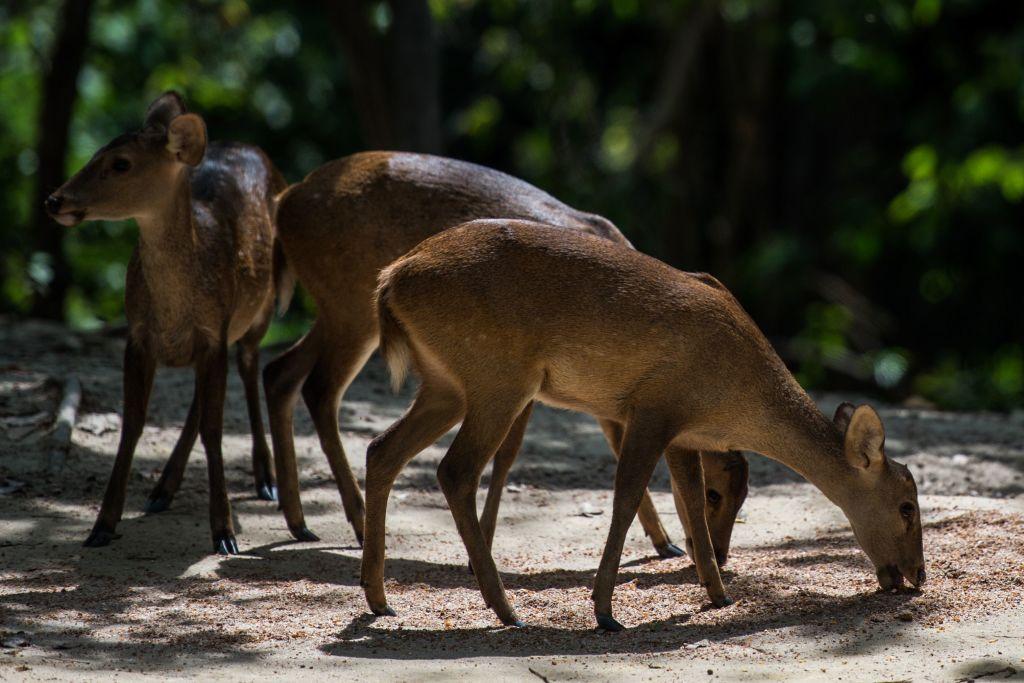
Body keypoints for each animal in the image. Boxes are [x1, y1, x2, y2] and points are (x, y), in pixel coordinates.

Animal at [45, 92, 288, 557]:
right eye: (96, 150)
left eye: (121, 163)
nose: (54, 200)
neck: (176, 310)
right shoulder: (139, 336)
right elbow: (133, 425)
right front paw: (101, 525)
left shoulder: (214, 331)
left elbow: (214, 428)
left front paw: (224, 533)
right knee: (202, 399)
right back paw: (163, 489)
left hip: (265, 306)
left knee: (249, 369)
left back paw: (268, 480)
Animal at [260, 150, 749, 565]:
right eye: (714, 492)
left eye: (741, 496)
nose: (721, 553)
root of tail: (285, 202)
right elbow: (512, 453)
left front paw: (664, 542)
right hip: (350, 305)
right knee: (319, 387)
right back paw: (355, 524)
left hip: (336, 310)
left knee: (281, 370)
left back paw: (298, 520)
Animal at [362, 219, 929, 630]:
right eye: (906, 505)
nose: (918, 576)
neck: (733, 395)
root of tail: (390, 279)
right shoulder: (654, 406)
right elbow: (628, 494)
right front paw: (605, 612)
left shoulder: (682, 431)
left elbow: (691, 503)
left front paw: (718, 595)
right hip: (496, 377)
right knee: (454, 470)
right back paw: (505, 610)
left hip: (446, 384)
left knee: (382, 449)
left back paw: (380, 599)